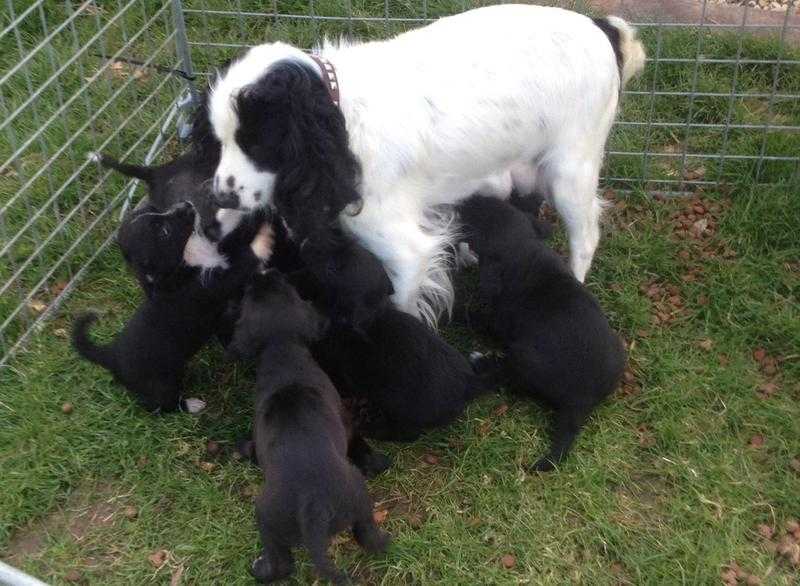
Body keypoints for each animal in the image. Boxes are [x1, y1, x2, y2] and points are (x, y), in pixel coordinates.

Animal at [71, 203, 268, 412]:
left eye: (154, 210)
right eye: (164, 232)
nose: (186, 205)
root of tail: (111, 355)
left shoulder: (220, 253)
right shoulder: (212, 285)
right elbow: (243, 263)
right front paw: (263, 239)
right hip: (162, 387)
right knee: (161, 406)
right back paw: (190, 405)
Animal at [205, 5, 644, 324]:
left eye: (256, 143)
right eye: (220, 140)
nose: (220, 196)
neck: (341, 117)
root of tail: (599, 26)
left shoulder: (406, 251)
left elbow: (401, 305)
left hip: (570, 171)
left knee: (585, 238)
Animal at [227, 272, 390, 580]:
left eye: (248, 296)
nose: (264, 273)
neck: (283, 351)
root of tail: (313, 507)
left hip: (267, 515)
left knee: (284, 563)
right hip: (357, 499)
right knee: (367, 537)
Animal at [456, 196, 624, 470]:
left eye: (474, 221)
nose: (466, 199)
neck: (524, 250)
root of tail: (582, 401)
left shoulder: (496, 321)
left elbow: (472, 316)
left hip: (524, 356)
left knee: (507, 378)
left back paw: (481, 360)